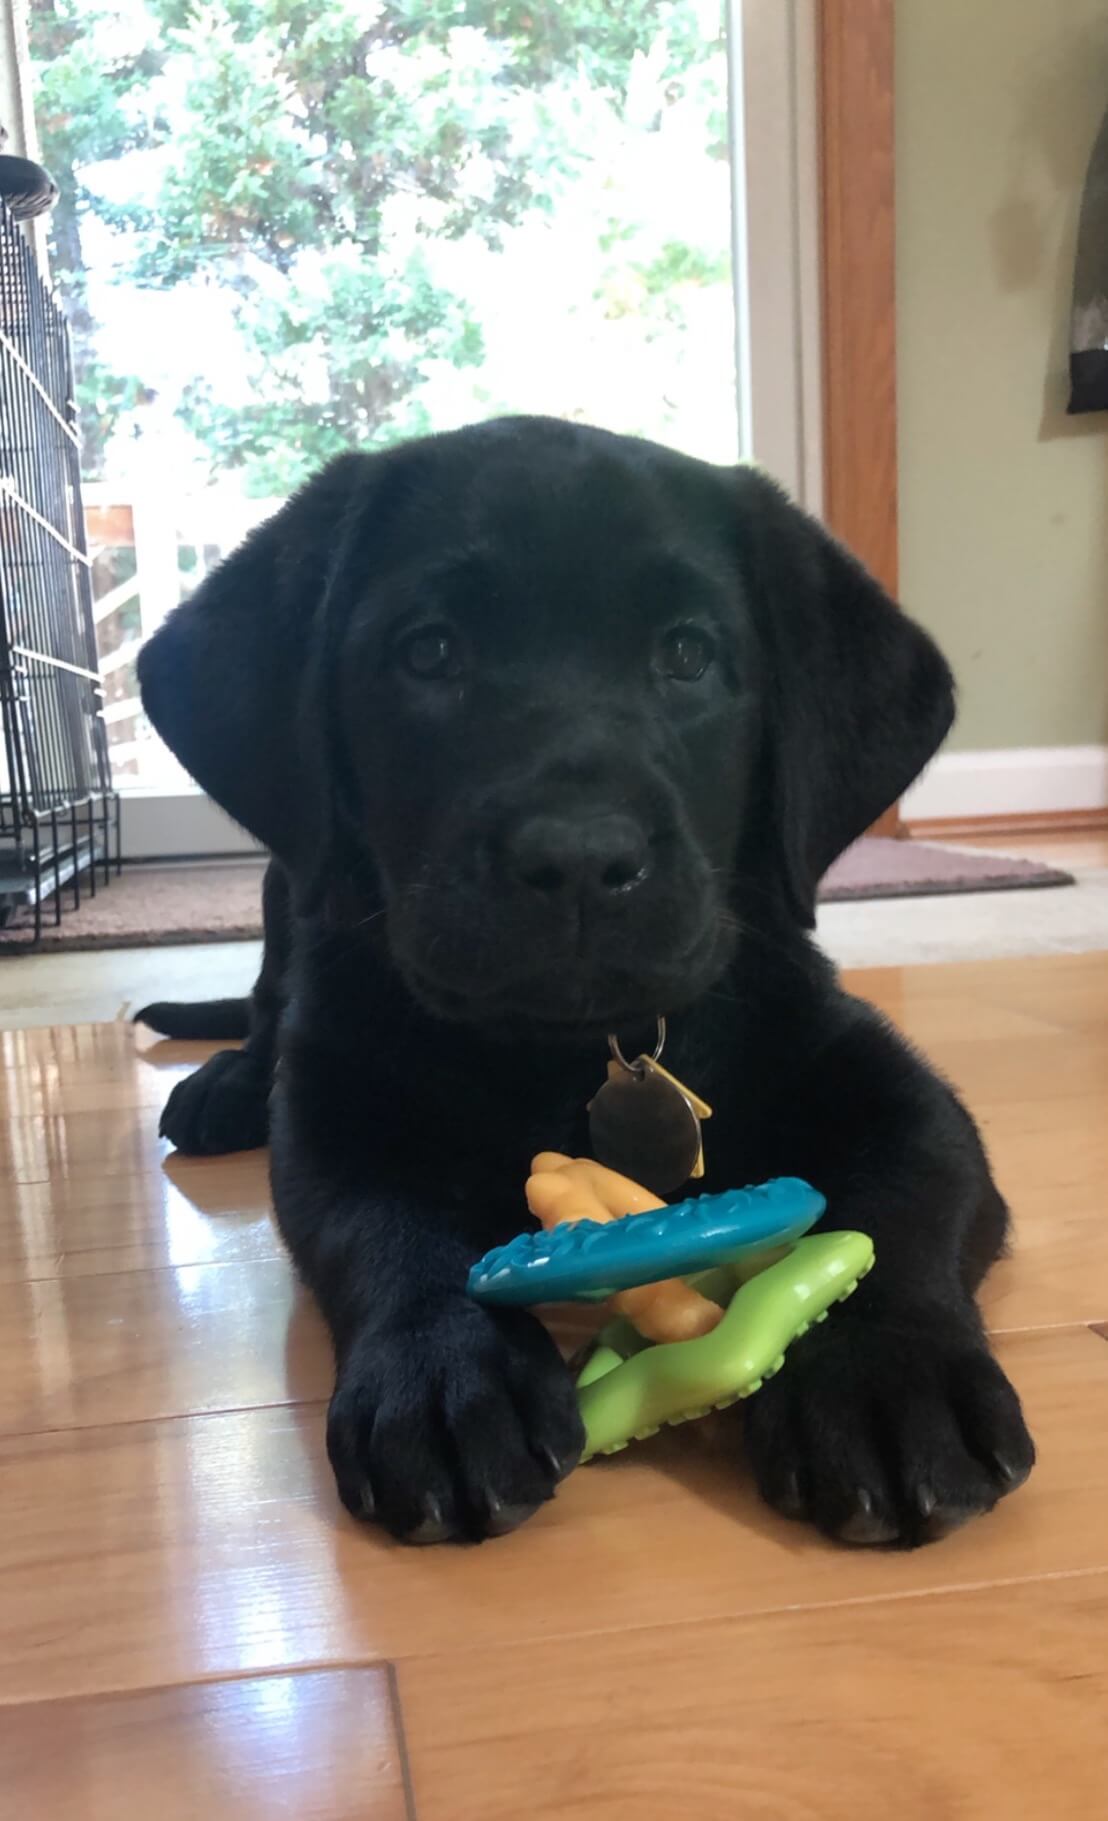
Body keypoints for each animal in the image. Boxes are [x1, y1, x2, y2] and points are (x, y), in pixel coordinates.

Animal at [133, 418, 1035, 1544]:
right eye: (428, 651)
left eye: (687, 654)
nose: (576, 857)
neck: (578, 1047)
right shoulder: (338, 1099)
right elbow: (380, 1223)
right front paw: (446, 1373)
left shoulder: (877, 1071)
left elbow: (904, 1194)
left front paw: (886, 1378)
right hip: (283, 887)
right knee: (264, 1010)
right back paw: (226, 1085)